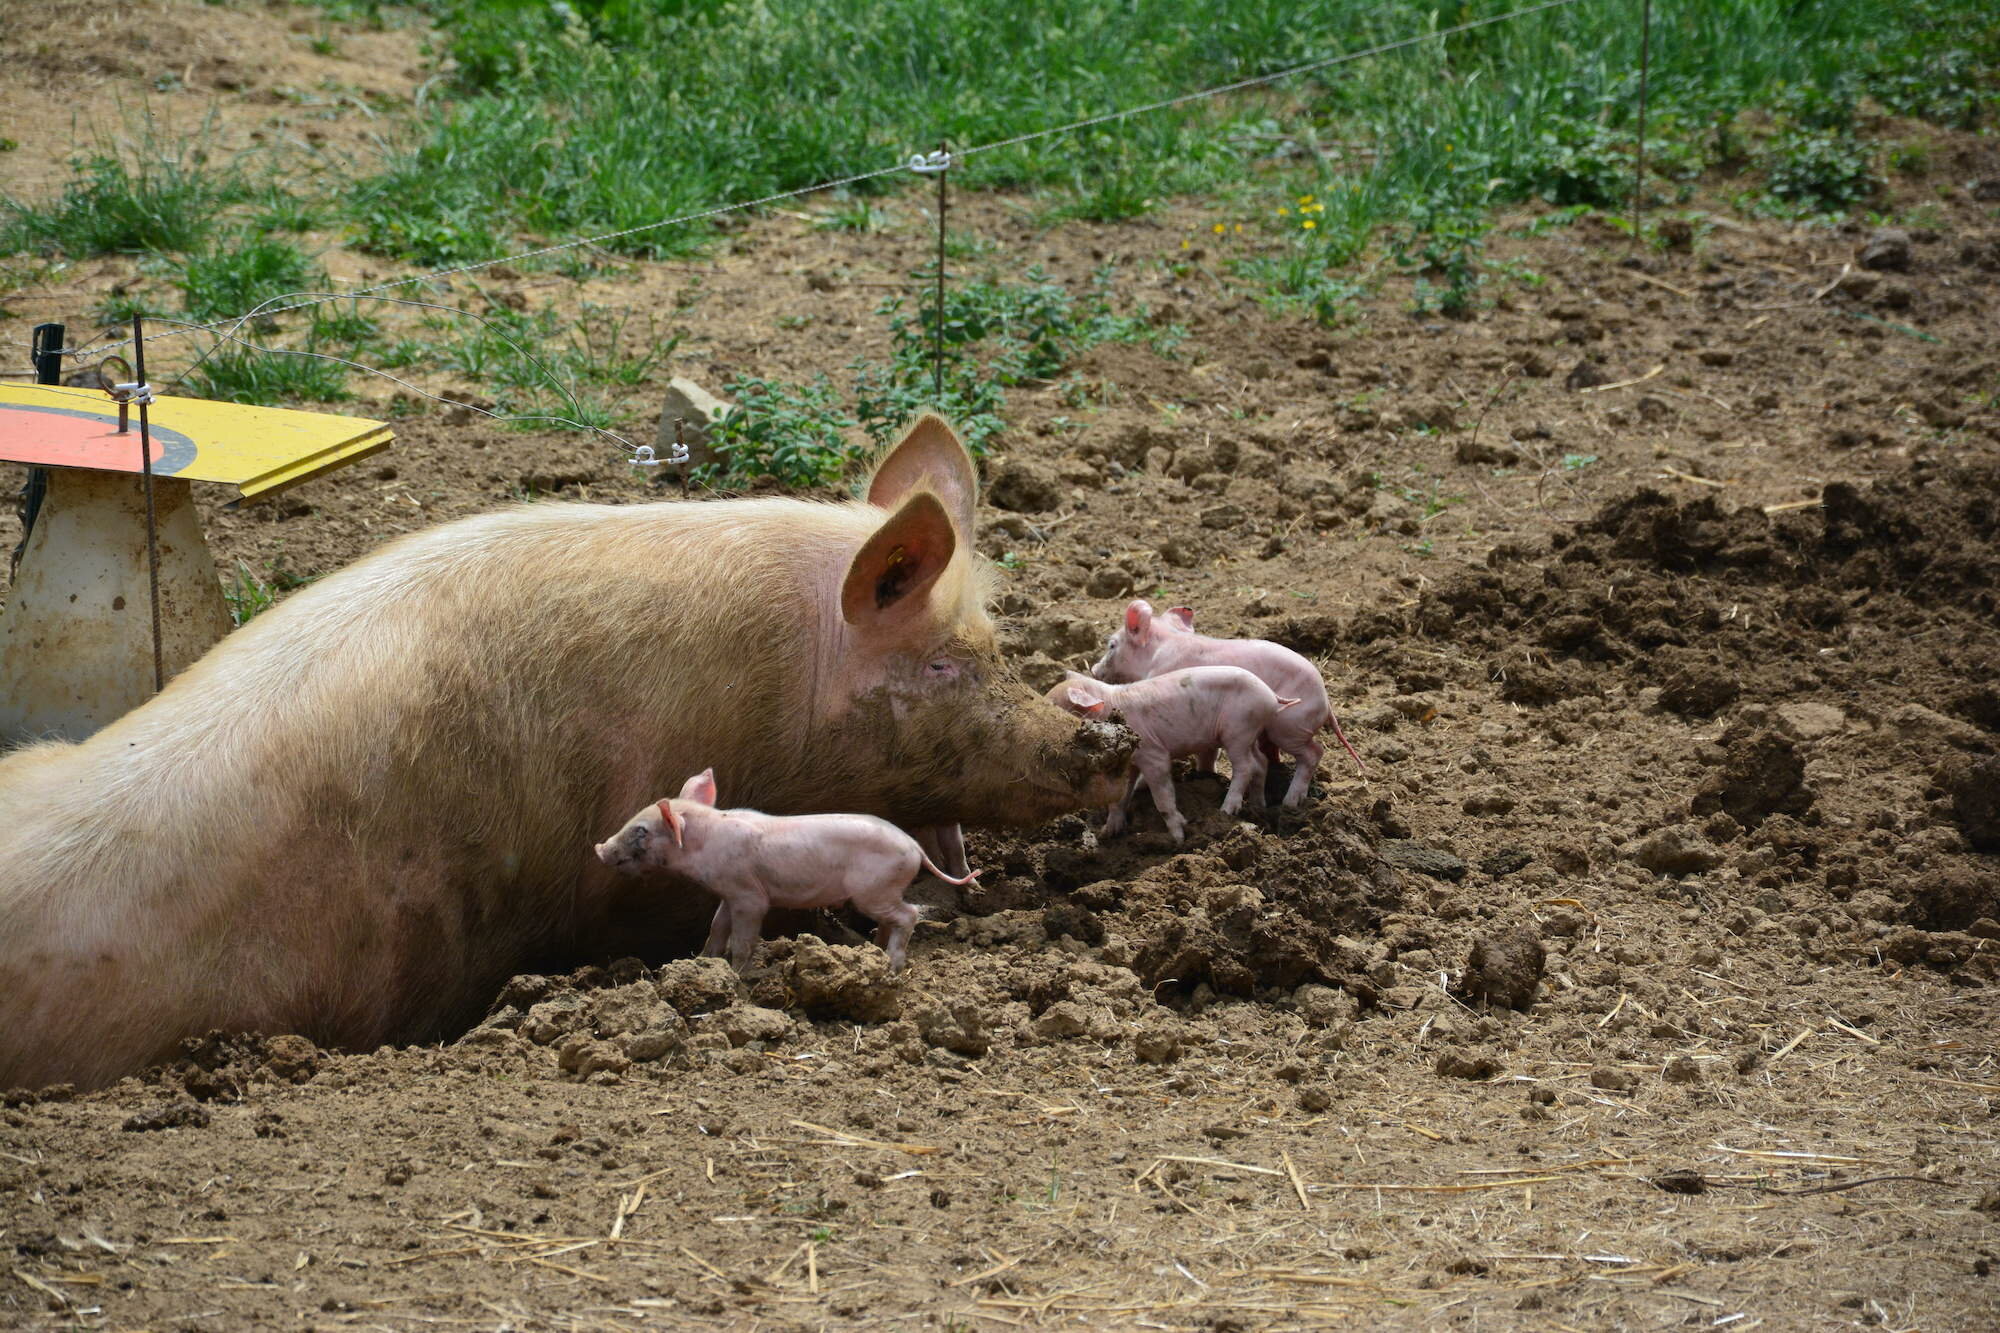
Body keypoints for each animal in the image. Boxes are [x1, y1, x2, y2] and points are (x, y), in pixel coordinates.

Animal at [588, 768, 972, 964]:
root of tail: (914, 847)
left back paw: (891, 963)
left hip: (873, 889)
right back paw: (873, 952)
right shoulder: (728, 893)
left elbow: (743, 939)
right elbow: (717, 926)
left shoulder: (748, 895)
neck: (703, 844)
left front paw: (737, 974)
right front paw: (704, 962)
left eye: (641, 831)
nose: (600, 848)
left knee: (909, 914)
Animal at [1048, 664, 1296, 840]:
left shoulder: (1153, 754)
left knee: (1245, 766)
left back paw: (1226, 810)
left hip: (1238, 730)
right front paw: (1107, 834)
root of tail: (1271, 695)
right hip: (1249, 733)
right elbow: (1118, 799)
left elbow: (1163, 798)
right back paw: (1258, 805)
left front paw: (1179, 837)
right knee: (1261, 762)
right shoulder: (1129, 763)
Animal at [1088, 600, 1368, 804]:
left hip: (1289, 725)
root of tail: (1327, 703)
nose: (1093, 669)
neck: (1157, 650)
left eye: (1111, 645)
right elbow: (1207, 752)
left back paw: (1290, 802)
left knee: (1313, 753)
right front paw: (1203, 776)